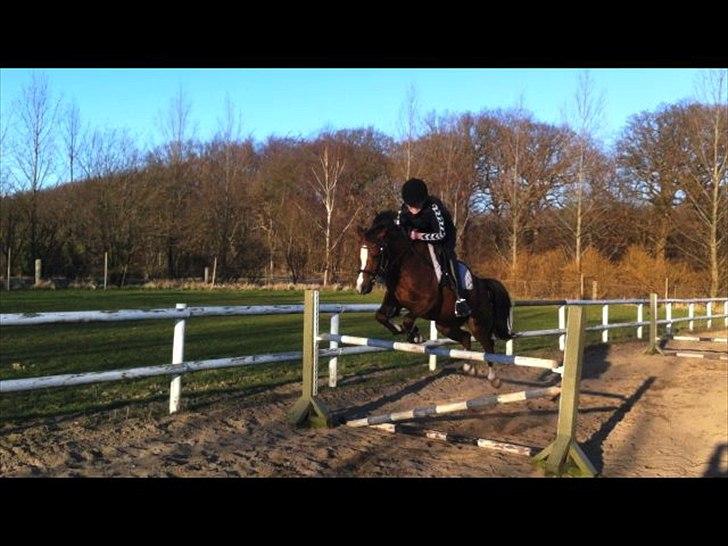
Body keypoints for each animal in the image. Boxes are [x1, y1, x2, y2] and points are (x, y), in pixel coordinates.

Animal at [355, 211, 513, 387]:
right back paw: (469, 366)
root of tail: (483, 285)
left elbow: (407, 320)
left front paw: (415, 336)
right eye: (360, 254)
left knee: (488, 346)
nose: (361, 287)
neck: (406, 266)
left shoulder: (427, 304)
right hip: (445, 325)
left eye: (376, 254)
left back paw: (493, 378)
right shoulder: (394, 301)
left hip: (478, 324)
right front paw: (402, 330)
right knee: (466, 337)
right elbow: (381, 316)